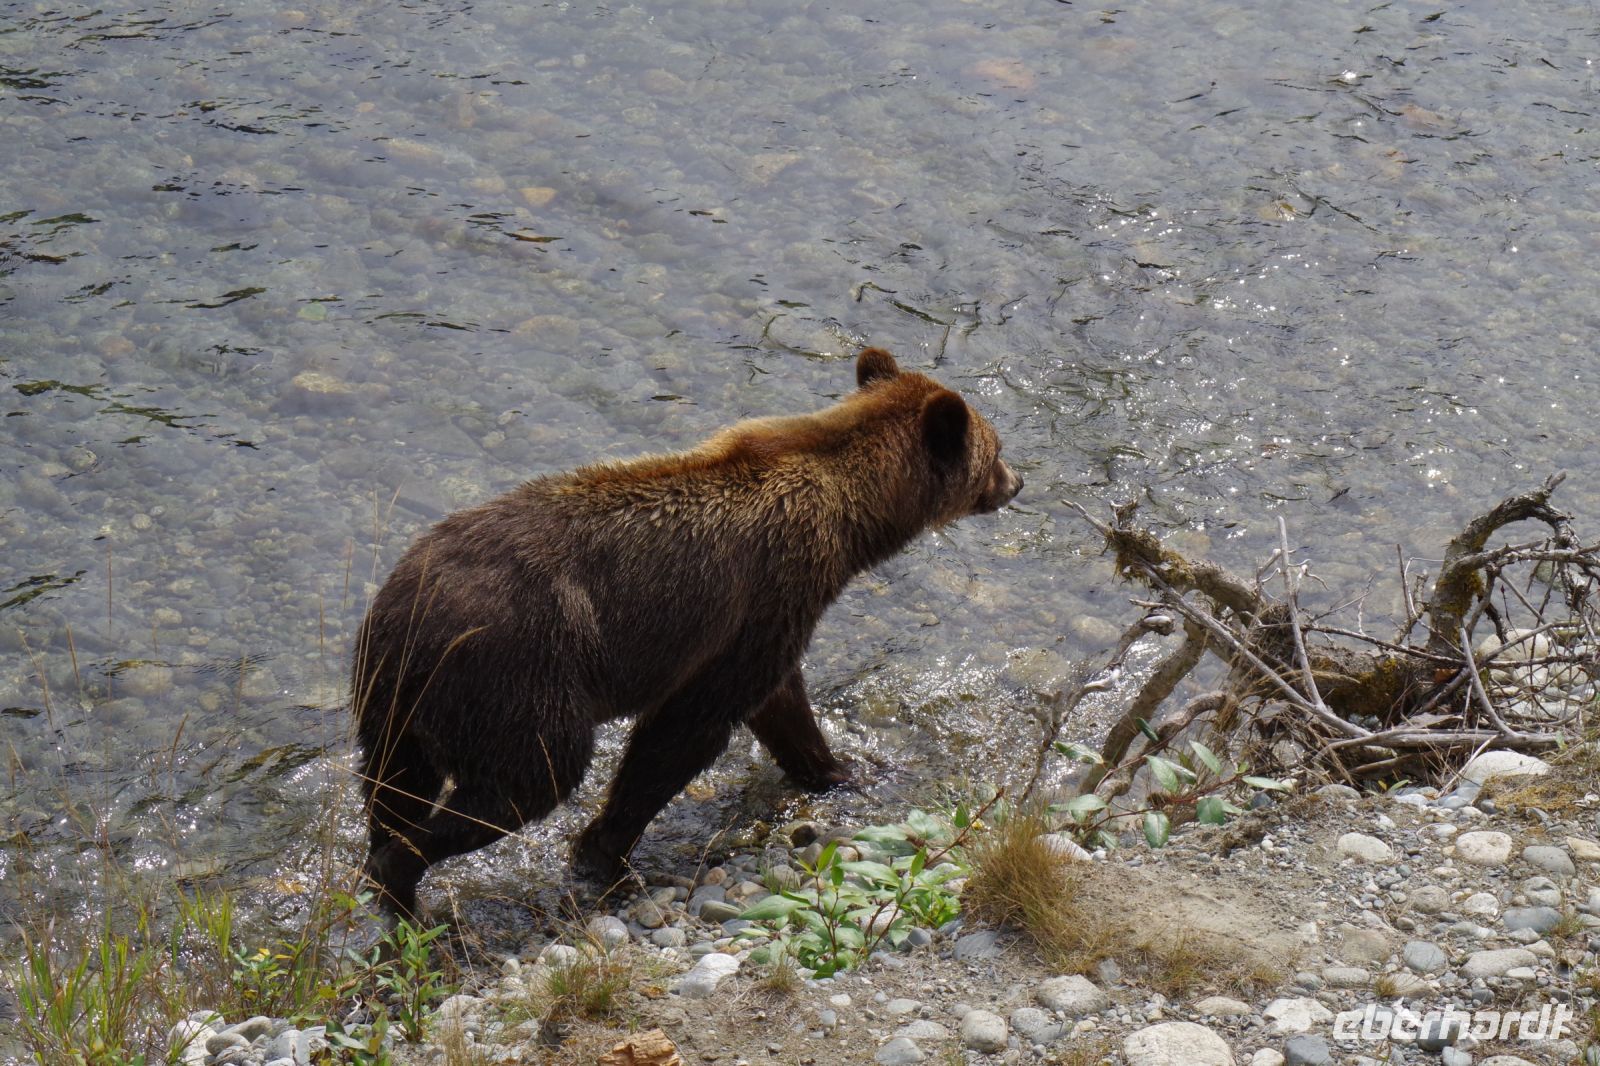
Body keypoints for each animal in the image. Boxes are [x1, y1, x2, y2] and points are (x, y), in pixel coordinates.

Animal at [353, 346, 1022, 920]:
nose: (1017, 482)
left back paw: (384, 869)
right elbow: (688, 728)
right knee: (532, 776)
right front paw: (606, 850)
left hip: (396, 696)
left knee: (395, 781)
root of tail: (405, 611)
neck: (848, 518)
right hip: (515, 674)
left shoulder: (767, 618)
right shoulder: (769, 592)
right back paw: (403, 882)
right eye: (994, 449)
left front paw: (841, 770)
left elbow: (779, 704)